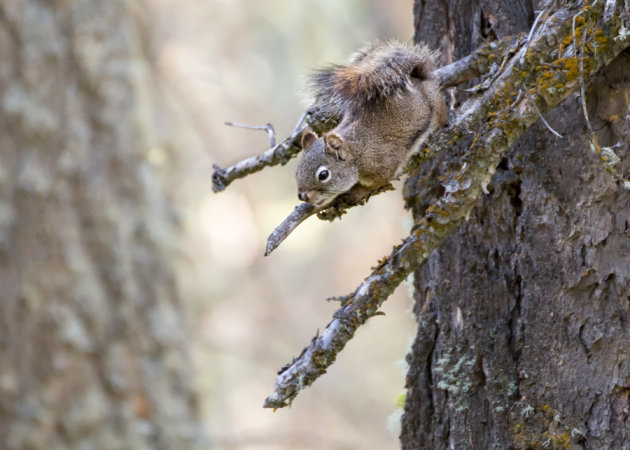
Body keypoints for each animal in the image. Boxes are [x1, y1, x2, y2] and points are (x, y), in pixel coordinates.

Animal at [298, 40, 450, 207]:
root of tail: (420, 79)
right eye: (297, 170)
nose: (303, 196)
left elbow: (378, 182)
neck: (356, 152)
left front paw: (358, 192)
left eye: (323, 175)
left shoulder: (384, 165)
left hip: (435, 105)